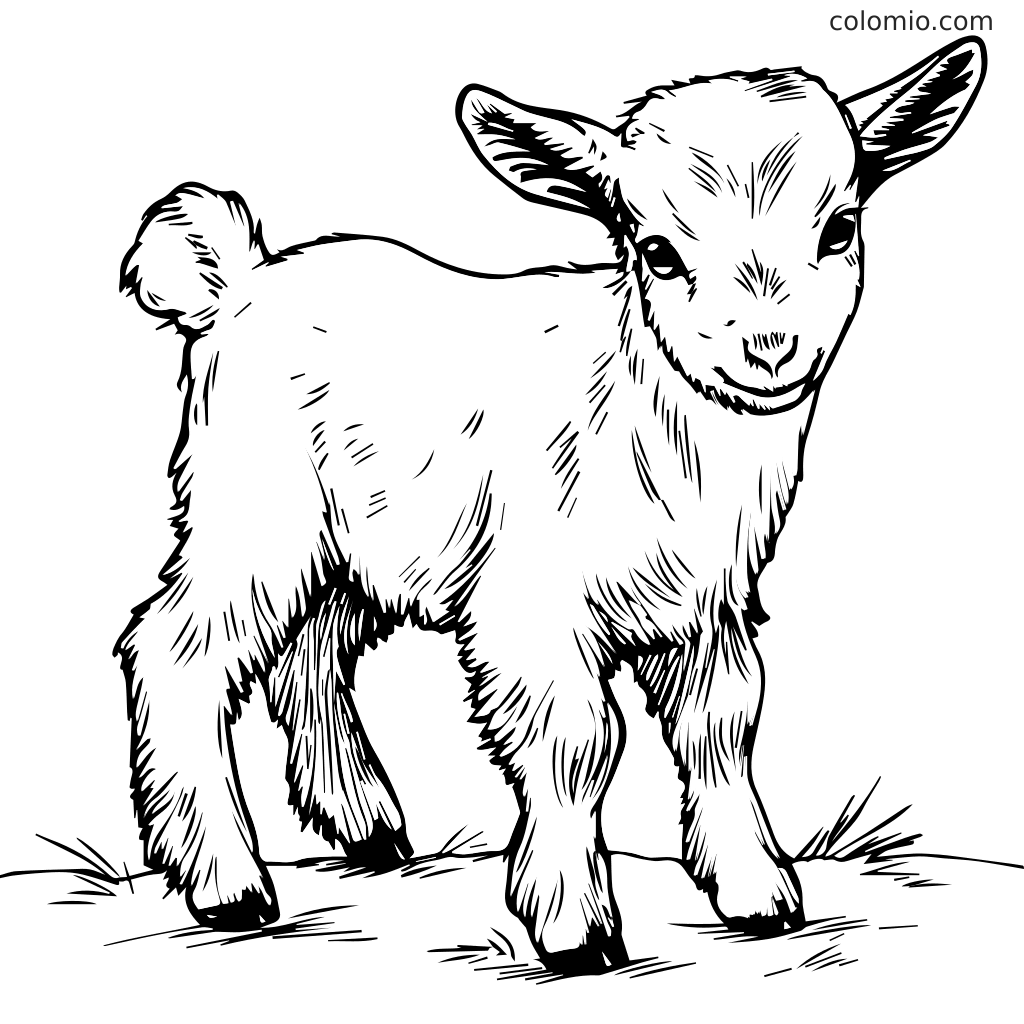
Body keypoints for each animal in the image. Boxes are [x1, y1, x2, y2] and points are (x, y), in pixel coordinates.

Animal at [117, 37, 986, 973]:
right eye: (657, 252)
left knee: (309, 655)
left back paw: (365, 824)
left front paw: (756, 891)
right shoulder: (531, 605)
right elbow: (576, 744)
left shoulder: (705, 606)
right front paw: (576, 926)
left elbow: (723, 728)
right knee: (177, 650)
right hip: (255, 512)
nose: (767, 348)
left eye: (839, 227)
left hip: (362, 542)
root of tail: (238, 282)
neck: (651, 412)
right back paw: (227, 884)